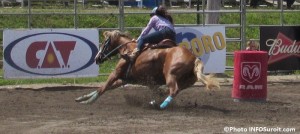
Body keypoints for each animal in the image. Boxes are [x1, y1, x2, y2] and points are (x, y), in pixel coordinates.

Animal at [75, 30, 220, 109]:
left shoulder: (115, 74)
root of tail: (194, 58)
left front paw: (88, 101)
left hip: (170, 75)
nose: (97, 58)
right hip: (186, 82)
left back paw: (160, 105)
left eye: (105, 42)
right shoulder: (124, 79)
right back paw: (155, 100)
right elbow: (104, 88)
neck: (128, 50)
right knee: (172, 90)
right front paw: (82, 98)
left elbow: (103, 87)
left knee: (173, 90)